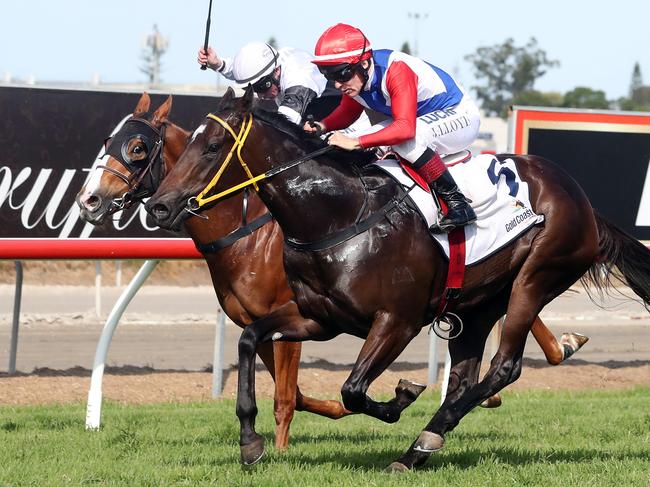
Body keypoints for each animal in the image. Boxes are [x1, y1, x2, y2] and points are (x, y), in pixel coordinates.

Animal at [76, 93, 352, 452]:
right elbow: (295, 393)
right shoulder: (256, 322)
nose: (88, 200)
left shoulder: (291, 317)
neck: (248, 236)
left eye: (137, 148)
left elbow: (286, 398)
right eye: (109, 142)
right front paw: (340, 407)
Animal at [143, 89, 648, 470]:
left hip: (536, 277)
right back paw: (421, 447)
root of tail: (583, 201)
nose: (160, 207)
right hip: (477, 303)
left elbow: (352, 390)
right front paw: (250, 441)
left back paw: (427, 438)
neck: (337, 214)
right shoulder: (316, 317)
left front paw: (400, 396)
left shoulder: (397, 321)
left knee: (504, 367)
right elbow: (250, 339)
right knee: (466, 378)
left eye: (212, 147)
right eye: (189, 143)